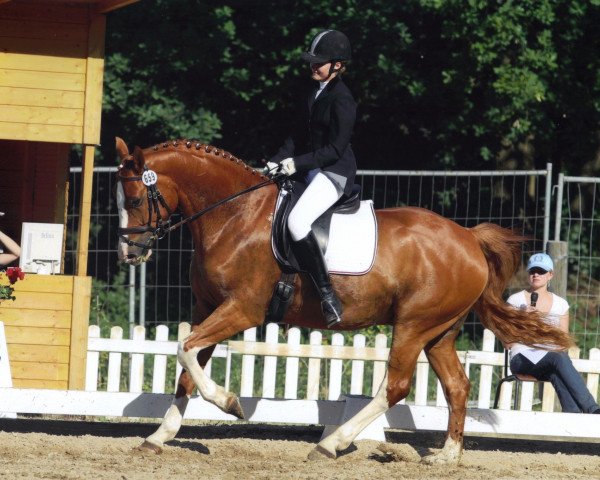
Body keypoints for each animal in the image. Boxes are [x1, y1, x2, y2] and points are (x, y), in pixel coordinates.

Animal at [116, 138, 572, 464]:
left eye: (135, 200)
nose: (128, 253)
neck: (234, 216)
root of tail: (469, 239)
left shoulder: (241, 310)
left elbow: (184, 349)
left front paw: (231, 404)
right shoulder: (206, 308)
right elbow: (187, 367)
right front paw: (157, 437)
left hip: (414, 325)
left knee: (396, 386)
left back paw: (332, 443)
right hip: (439, 331)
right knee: (457, 386)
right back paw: (446, 456)